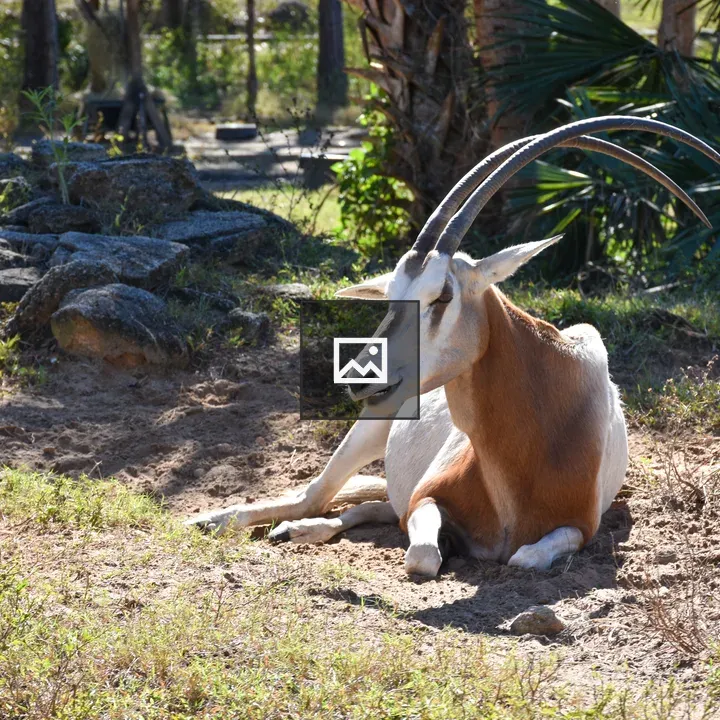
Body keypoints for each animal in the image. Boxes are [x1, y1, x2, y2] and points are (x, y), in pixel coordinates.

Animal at [187, 117, 720, 577]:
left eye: (442, 294)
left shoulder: (581, 527)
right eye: (393, 292)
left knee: (372, 503)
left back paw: (292, 529)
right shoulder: (425, 498)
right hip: (374, 422)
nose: (360, 376)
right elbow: (421, 553)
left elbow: (522, 557)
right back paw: (223, 520)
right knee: (320, 496)